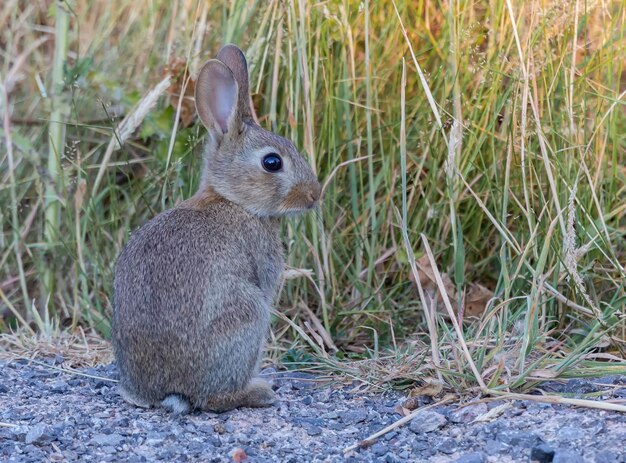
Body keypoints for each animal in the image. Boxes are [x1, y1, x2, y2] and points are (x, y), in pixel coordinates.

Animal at [110, 45, 322, 416]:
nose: (314, 194)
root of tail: (169, 392)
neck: (232, 199)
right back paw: (259, 392)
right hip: (248, 317)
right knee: (211, 399)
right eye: (272, 162)